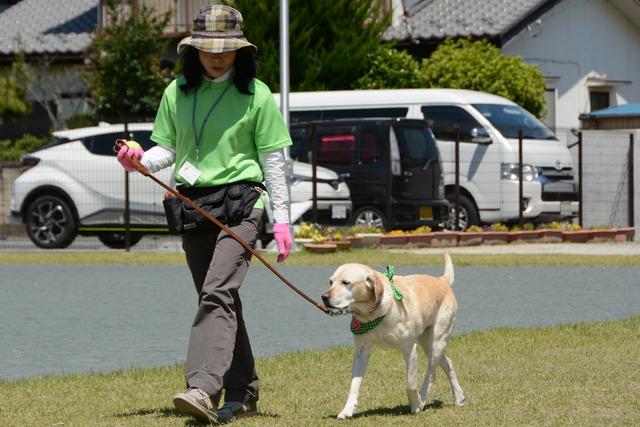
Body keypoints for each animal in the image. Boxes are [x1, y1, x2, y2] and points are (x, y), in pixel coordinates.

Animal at [322, 254, 462, 418]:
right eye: (331, 282)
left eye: (346, 282)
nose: (324, 297)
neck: (375, 314)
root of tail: (442, 280)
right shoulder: (361, 352)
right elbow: (354, 385)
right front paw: (347, 410)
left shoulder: (409, 348)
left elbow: (410, 384)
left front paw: (415, 405)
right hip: (427, 342)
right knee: (448, 363)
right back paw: (459, 396)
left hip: (437, 340)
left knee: (432, 374)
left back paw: (422, 399)